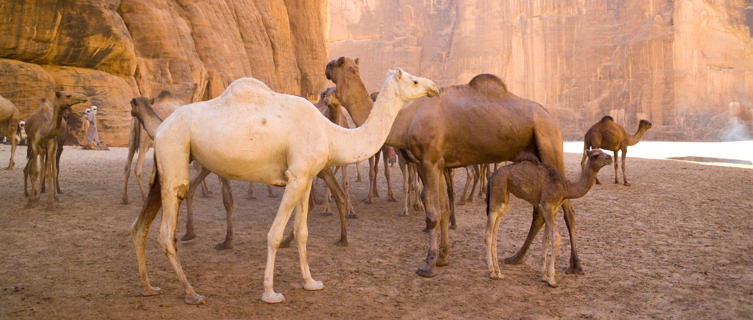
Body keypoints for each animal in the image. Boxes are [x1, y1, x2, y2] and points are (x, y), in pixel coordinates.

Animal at [131, 68, 438, 304]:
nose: (434, 87)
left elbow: (302, 233)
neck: (330, 133)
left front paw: (310, 282)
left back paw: (148, 287)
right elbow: (275, 233)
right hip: (174, 152)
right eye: (413, 81)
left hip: (164, 164)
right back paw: (191, 292)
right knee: (165, 232)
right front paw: (270, 292)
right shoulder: (297, 176)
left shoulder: (305, 177)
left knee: (138, 226)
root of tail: (160, 128)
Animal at [324, 57, 580, 278]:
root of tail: (551, 118)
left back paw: (574, 265)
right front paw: (443, 258)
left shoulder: (428, 161)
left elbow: (433, 213)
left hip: (550, 146)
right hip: (533, 159)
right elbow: (444, 209)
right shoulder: (437, 163)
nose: (326, 67)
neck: (405, 120)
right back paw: (516, 257)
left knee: (567, 208)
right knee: (539, 212)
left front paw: (428, 265)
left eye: (339, 63)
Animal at [482, 150, 612, 288]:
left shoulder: (553, 210)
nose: (610, 158)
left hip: (504, 198)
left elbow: (547, 239)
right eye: (596, 155)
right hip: (497, 193)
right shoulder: (546, 205)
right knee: (488, 233)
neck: (565, 187)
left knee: (495, 231)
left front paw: (544, 276)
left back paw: (499, 272)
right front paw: (552, 279)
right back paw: (492, 273)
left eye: (602, 151)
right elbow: (556, 237)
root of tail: (492, 176)